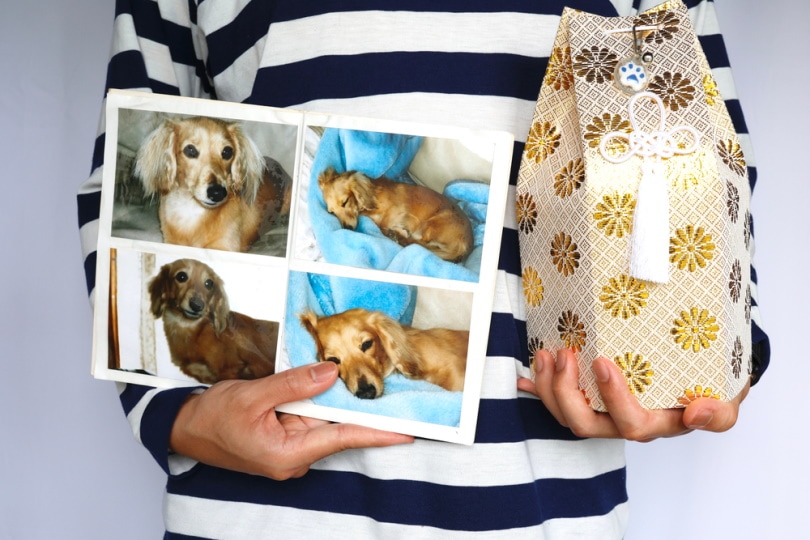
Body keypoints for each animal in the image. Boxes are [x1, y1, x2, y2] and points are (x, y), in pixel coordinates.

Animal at [318, 168, 474, 262]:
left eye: (345, 202)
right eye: (331, 212)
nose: (347, 229)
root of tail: (467, 244)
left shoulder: (398, 210)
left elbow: (383, 224)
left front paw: (394, 230)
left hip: (433, 223)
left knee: (417, 242)